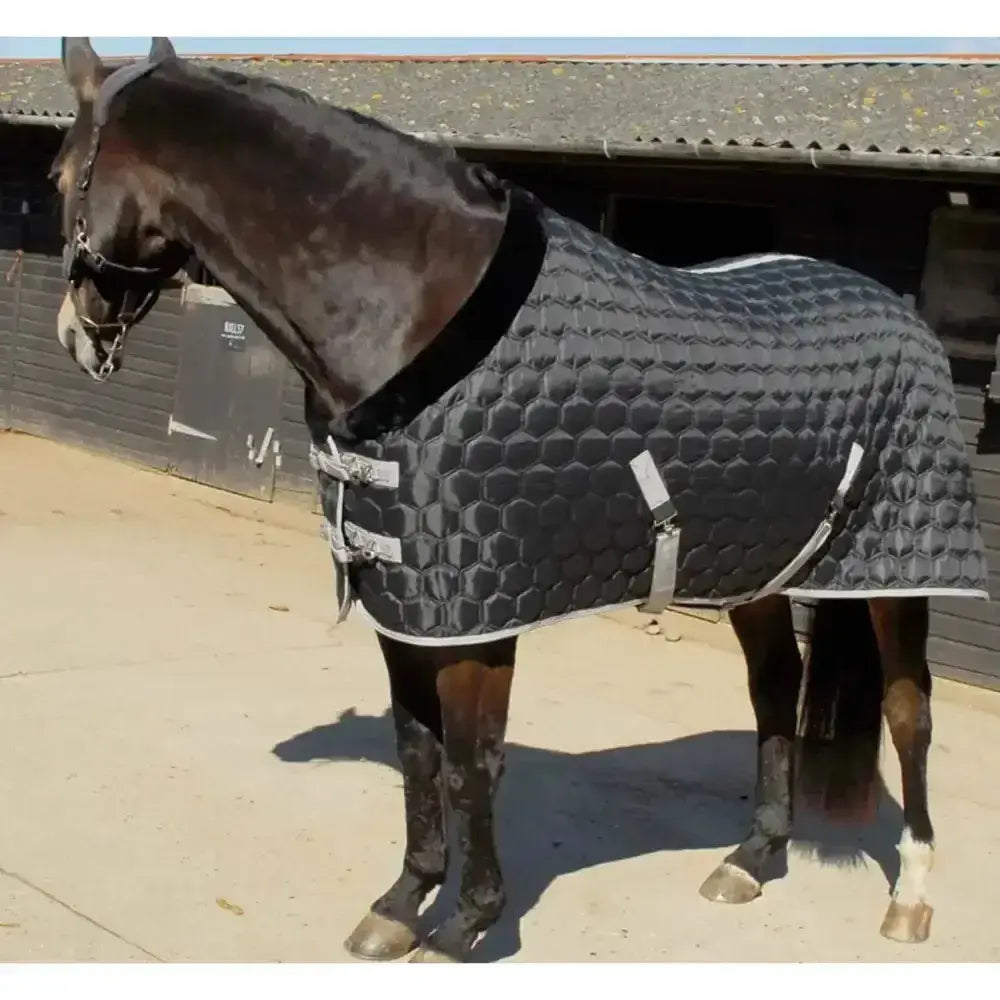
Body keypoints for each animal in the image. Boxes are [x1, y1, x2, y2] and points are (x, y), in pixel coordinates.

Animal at [49, 37, 989, 962]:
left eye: (63, 176)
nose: (77, 332)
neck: (413, 303)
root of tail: (901, 310)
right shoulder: (410, 602)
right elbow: (418, 749)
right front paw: (403, 901)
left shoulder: (478, 609)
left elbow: (474, 760)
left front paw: (467, 923)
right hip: (754, 564)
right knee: (774, 688)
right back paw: (752, 858)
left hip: (898, 568)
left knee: (910, 712)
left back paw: (910, 895)